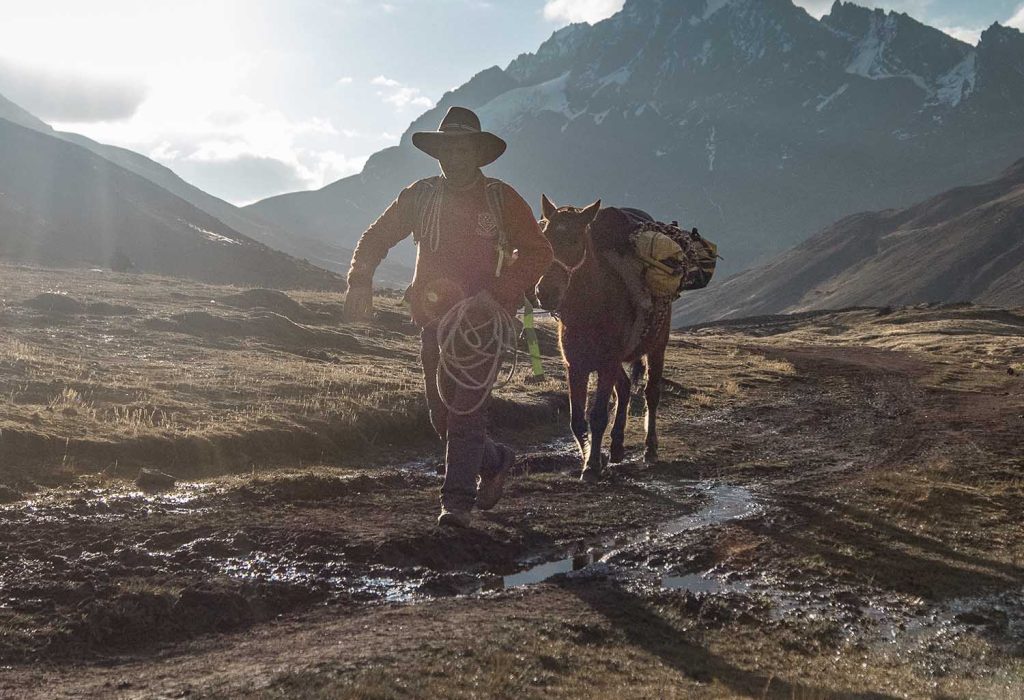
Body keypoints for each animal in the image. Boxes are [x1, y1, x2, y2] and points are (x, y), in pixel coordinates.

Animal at [536, 195, 671, 480]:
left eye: (576, 240)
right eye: (546, 237)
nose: (545, 292)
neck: (592, 306)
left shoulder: (607, 363)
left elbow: (597, 416)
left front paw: (591, 465)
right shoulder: (575, 366)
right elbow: (577, 420)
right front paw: (591, 456)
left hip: (656, 348)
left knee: (651, 393)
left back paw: (650, 449)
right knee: (624, 388)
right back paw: (617, 447)